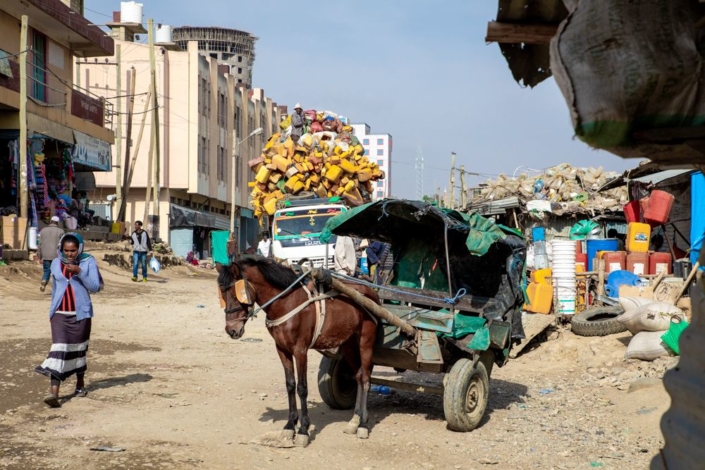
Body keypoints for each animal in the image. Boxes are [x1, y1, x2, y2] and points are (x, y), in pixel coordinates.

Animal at [214, 258, 380, 446]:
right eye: (222, 295)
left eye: (236, 294)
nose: (231, 330)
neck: (286, 303)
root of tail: (371, 292)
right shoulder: (282, 349)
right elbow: (290, 385)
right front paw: (290, 425)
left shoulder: (300, 351)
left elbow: (302, 388)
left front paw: (303, 430)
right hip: (349, 344)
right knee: (358, 376)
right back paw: (355, 420)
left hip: (365, 342)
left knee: (366, 379)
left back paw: (363, 425)